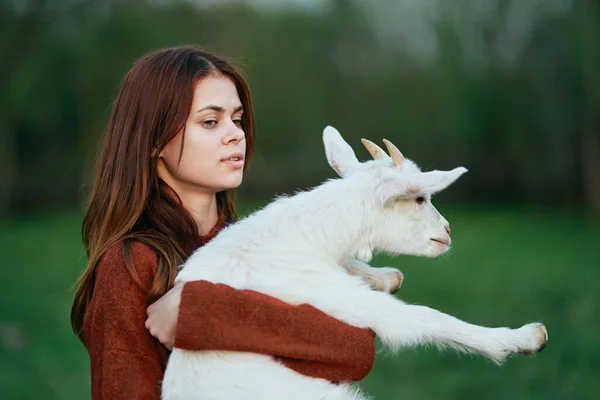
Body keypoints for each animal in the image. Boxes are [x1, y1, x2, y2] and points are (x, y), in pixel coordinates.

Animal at [163, 126, 548, 400]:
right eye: (420, 199)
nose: (447, 232)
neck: (299, 238)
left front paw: (384, 275)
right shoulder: (339, 298)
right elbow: (420, 318)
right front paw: (521, 338)